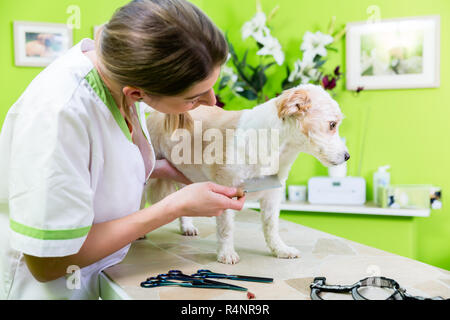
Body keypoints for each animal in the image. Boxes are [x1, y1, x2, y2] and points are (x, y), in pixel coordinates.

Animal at [144, 84, 348, 264]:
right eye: (332, 125)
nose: (348, 156)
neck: (273, 145)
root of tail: (156, 113)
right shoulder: (226, 190)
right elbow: (226, 228)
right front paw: (226, 253)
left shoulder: (272, 194)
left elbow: (271, 226)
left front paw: (280, 249)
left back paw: (186, 226)